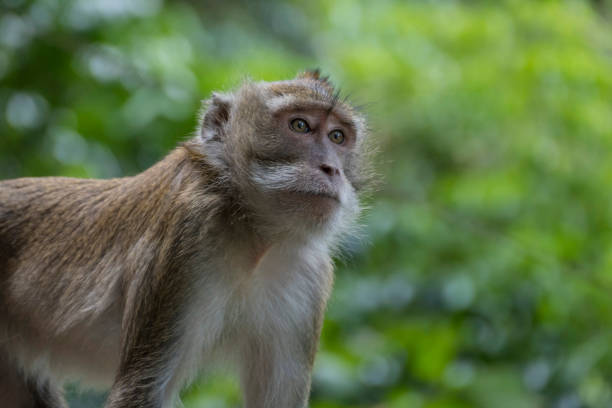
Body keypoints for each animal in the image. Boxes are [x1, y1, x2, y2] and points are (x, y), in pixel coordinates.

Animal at [0, 71, 368, 408]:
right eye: (300, 126)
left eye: (337, 136)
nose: (331, 168)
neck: (254, 235)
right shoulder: (189, 234)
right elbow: (141, 390)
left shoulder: (309, 276)